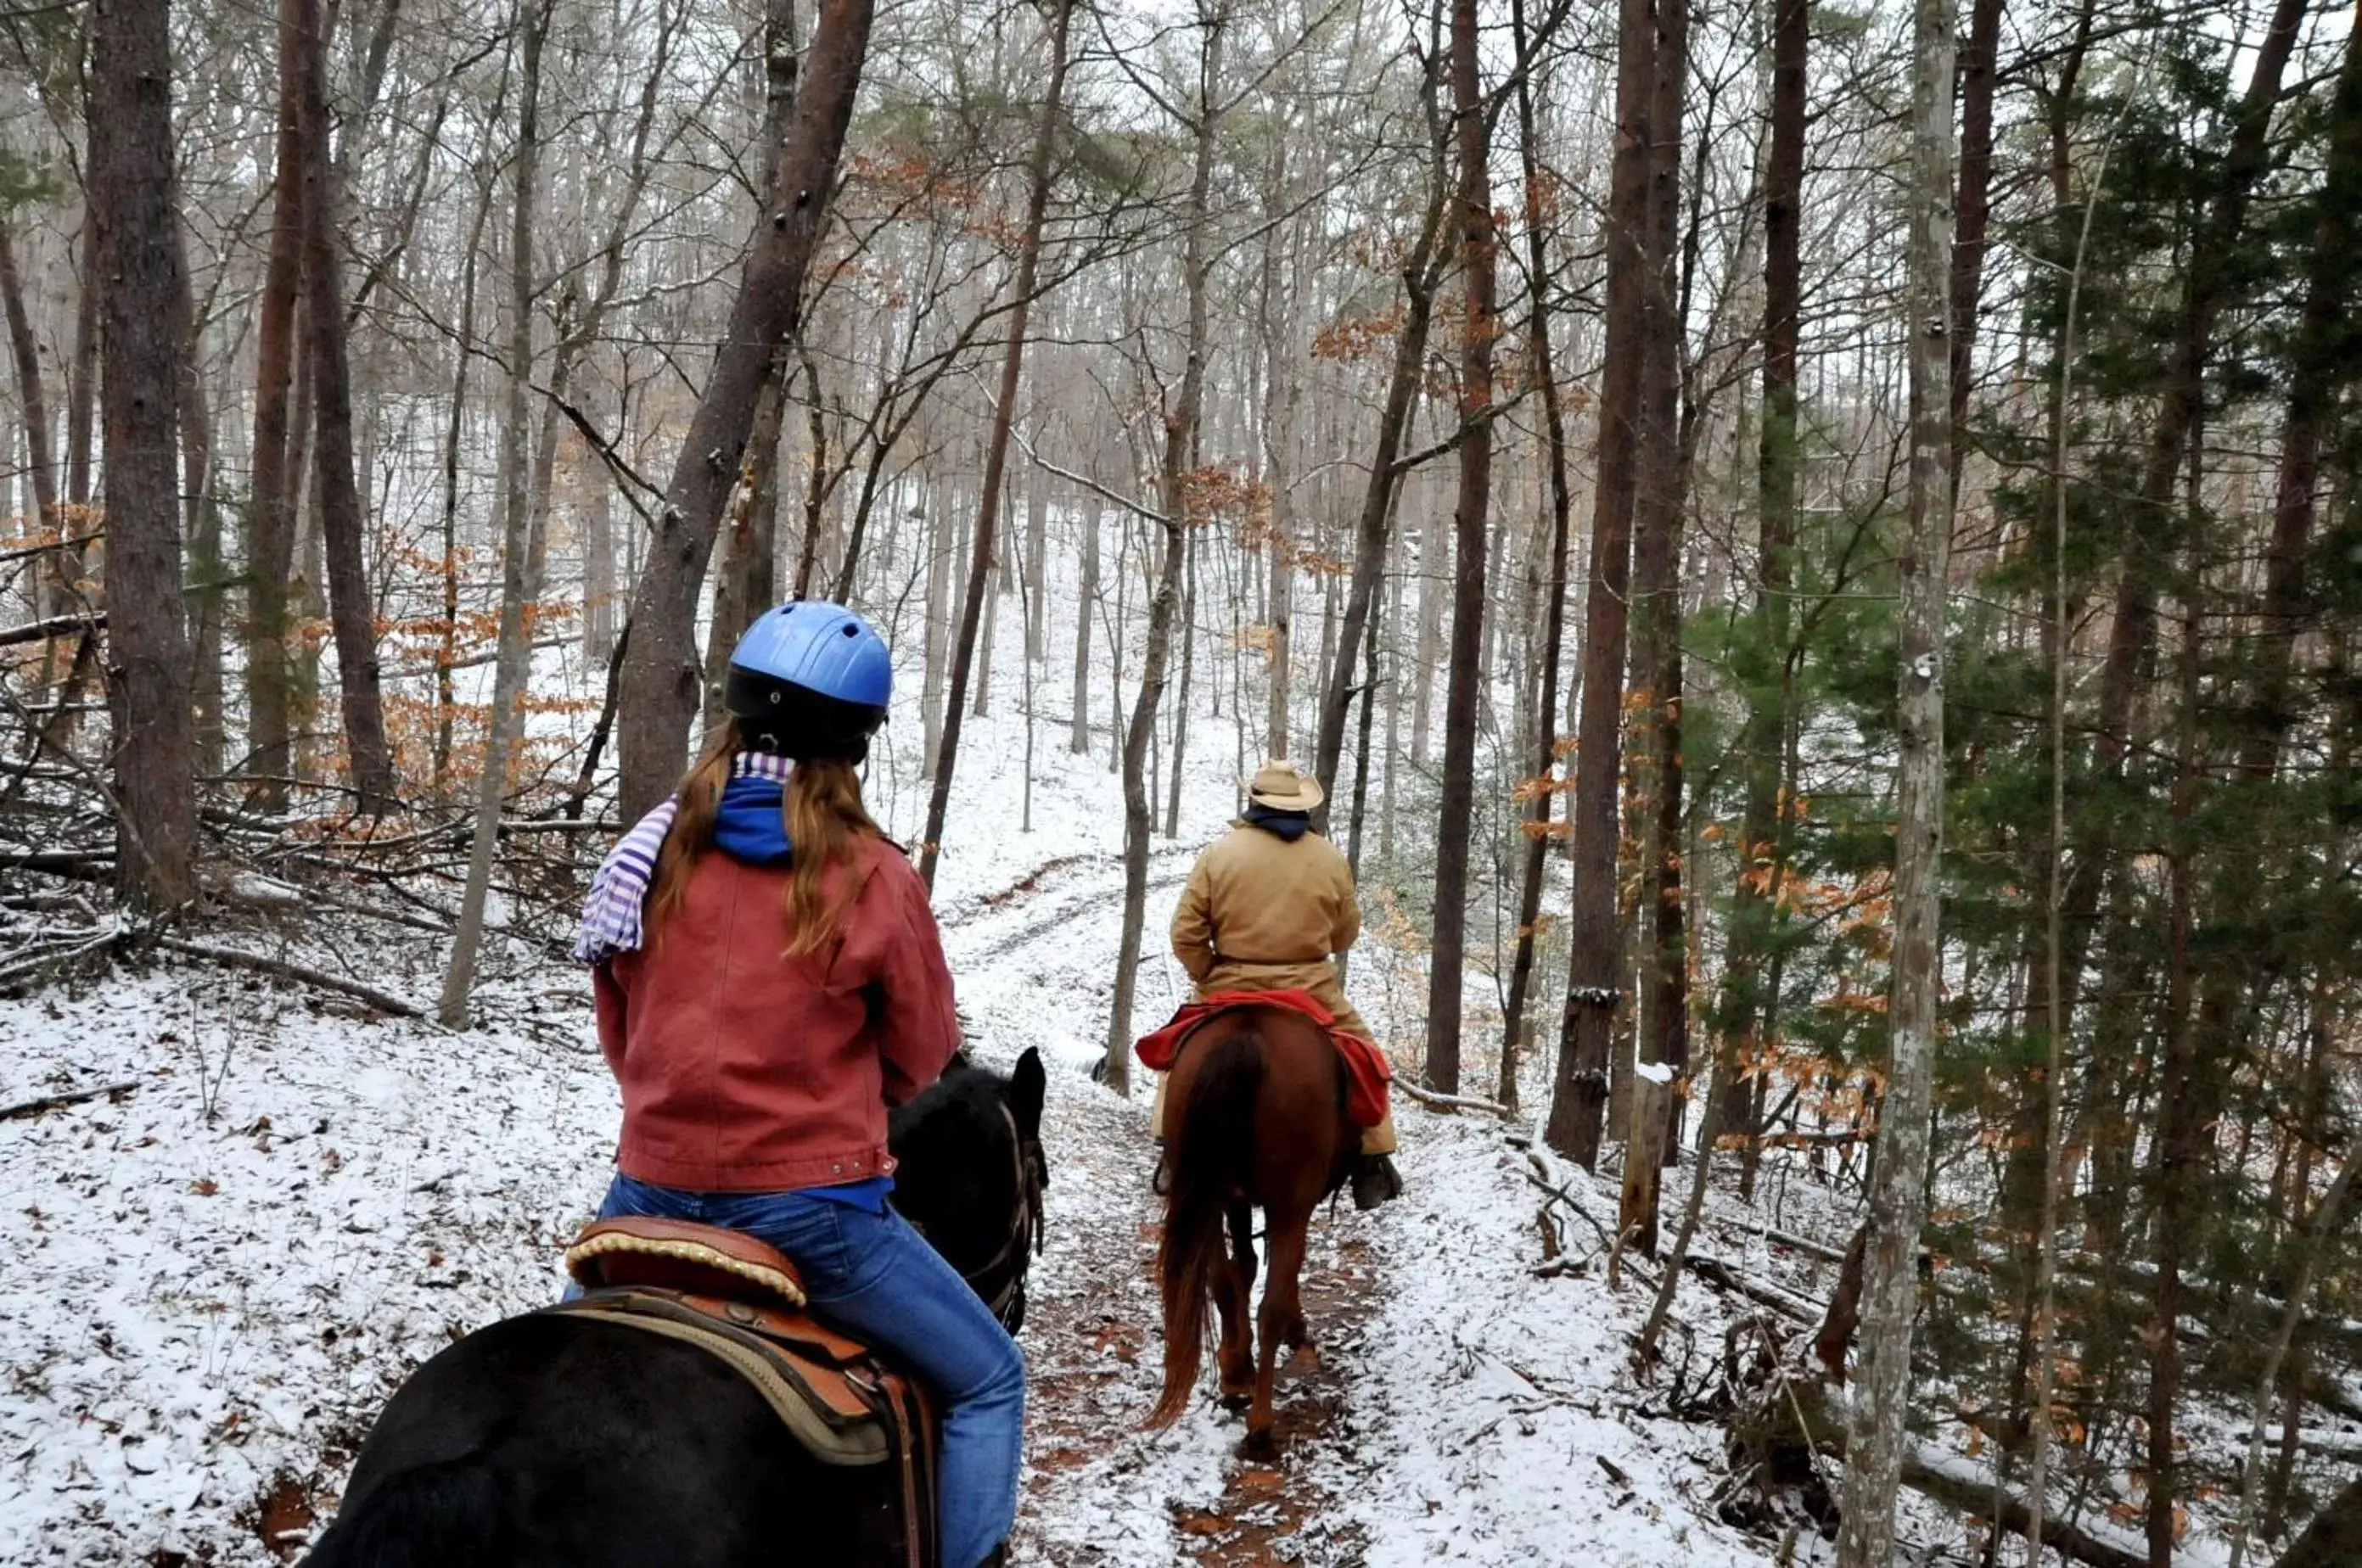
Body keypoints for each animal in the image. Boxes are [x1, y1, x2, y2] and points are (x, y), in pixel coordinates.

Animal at [1153, 996, 1361, 1454]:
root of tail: (1246, 1035)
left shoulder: (1236, 1200)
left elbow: (1243, 1268)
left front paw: (1237, 1366)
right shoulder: (1292, 1208)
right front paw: (1299, 1336)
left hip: (1208, 1193)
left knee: (1219, 1280)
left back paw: (1234, 1384)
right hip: (1288, 1206)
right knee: (1271, 1306)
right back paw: (1261, 1426)